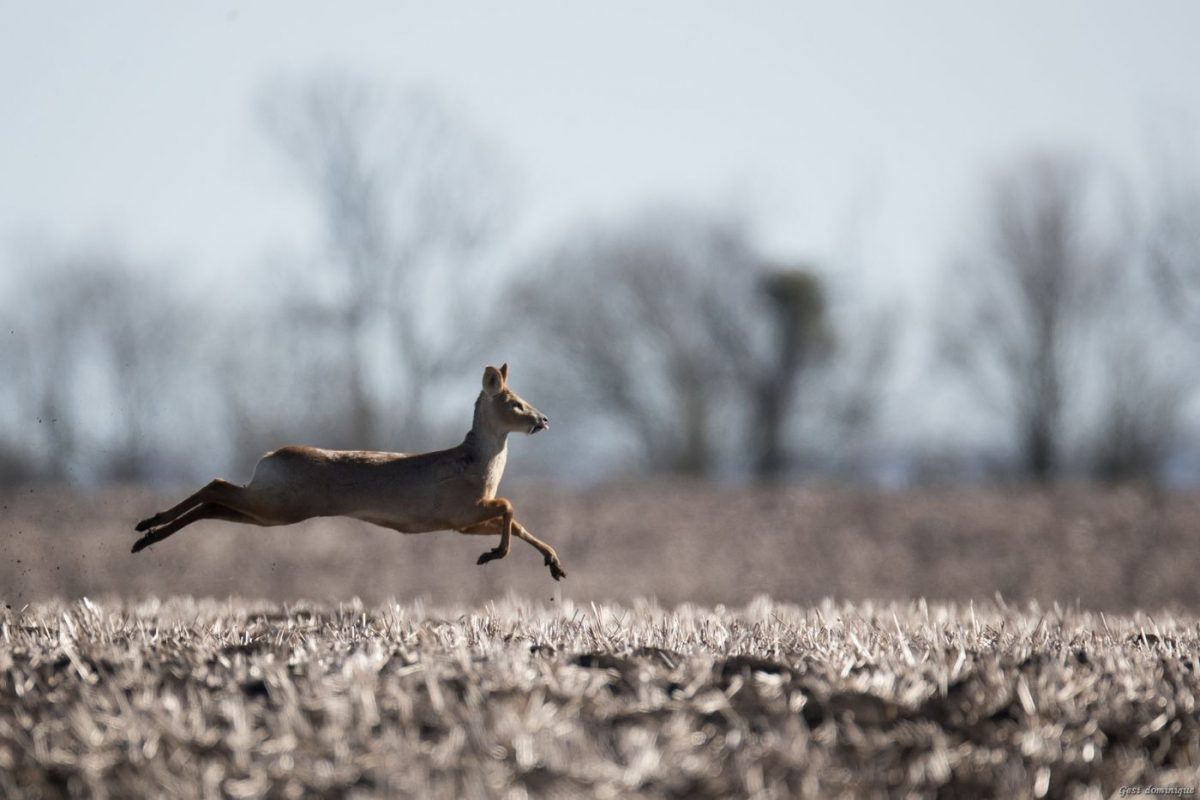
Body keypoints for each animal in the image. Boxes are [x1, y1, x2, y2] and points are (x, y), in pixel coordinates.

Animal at [132, 363, 567, 580]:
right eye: (514, 402)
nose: (544, 419)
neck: (479, 465)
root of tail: (270, 455)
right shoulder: (460, 508)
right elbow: (510, 507)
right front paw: (495, 554)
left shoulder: (461, 522)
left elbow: (517, 521)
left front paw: (554, 563)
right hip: (279, 503)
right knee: (216, 485)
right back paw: (146, 527)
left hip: (270, 510)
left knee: (215, 501)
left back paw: (147, 534)